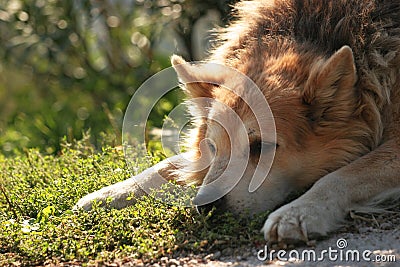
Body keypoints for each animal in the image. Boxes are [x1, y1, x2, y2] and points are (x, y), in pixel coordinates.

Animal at [76, 0, 400, 246]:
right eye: (211, 146)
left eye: (260, 146)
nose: (204, 207)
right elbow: (165, 166)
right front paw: (106, 195)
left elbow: (341, 175)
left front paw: (299, 212)